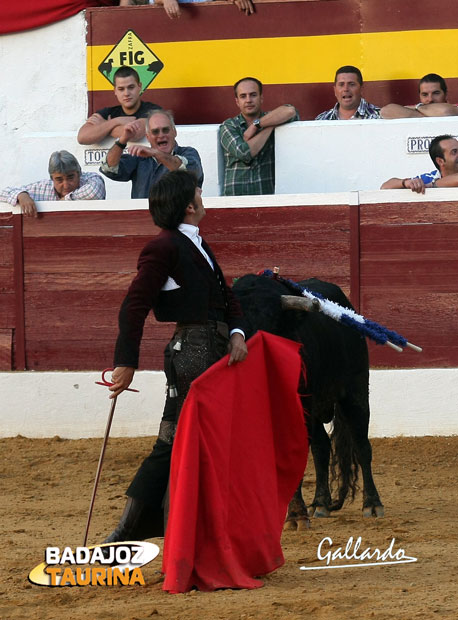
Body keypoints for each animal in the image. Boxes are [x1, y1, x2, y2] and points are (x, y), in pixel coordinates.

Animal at [233, 274, 382, 532]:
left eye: (272, 321)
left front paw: (295, 516)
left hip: (355, 392)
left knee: (362, 446)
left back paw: (372, 505)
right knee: (321, 447)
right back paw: (320, 504)